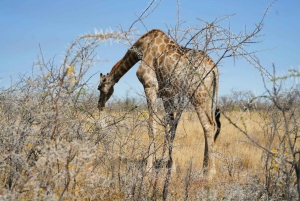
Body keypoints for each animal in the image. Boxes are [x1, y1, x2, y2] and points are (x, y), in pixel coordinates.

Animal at [98, 29, 220, 177]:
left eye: (99, 88)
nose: (99, 105)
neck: (142, 48)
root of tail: (214, 69)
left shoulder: (150, 86)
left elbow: (152, 126)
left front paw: (148, 168)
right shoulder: (167, 94)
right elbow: (170, 127)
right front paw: (171, 167)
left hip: (197, 95)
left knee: (208, 125)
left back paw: (211, 172)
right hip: (207, 96)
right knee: (210, 124)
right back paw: (204, 167)